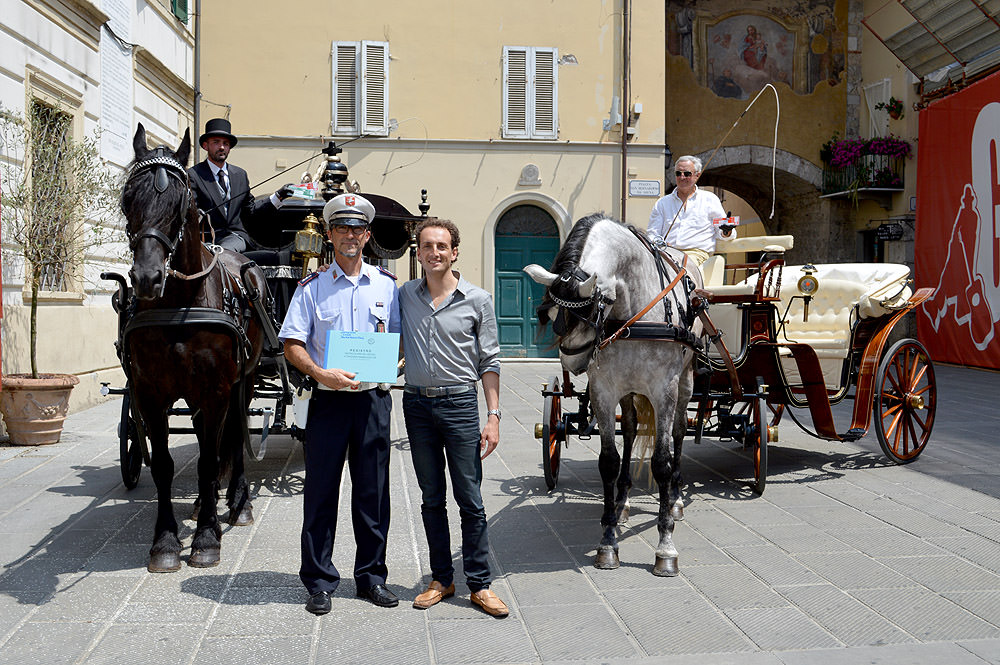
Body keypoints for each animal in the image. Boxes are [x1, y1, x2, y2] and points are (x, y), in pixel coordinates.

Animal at [119, 126, 268, 572]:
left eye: (180, 201)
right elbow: (164, 465)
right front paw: (166, 541)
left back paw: (238, 503)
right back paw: (206, 501)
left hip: (243, 380)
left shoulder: (217, 388)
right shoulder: (150, 393)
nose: (147, 277)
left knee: (234, 435)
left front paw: (205, 539)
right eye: (128, 197)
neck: (180, 302)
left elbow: (209, 457)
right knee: (210, 437)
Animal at [524, 214, 704, 576]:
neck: (633, 312)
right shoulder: (604, 390)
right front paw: (607, 541)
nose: (572, 360)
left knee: (678, 432)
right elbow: (609, 461)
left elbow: (661, 462)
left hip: (685, 380)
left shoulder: (663, 388)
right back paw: (622, 502)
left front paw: (665, 547)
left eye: (597, 307)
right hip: (627, 390)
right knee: (632, 429)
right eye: (550, 315)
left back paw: (676, 499)